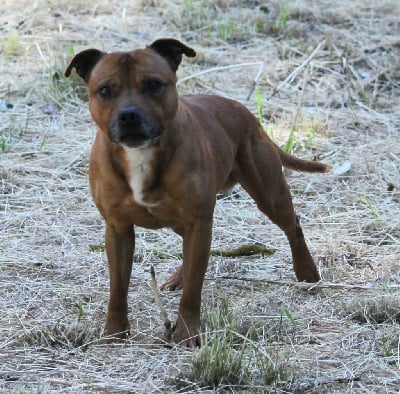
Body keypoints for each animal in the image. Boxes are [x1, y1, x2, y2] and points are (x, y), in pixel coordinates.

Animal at [65, 38, 328, 346]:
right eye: (105, 90)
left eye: (153, 85)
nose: (129, 115)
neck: (141, 156)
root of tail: (244, 111)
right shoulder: (118, 229)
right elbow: (118, 288)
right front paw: (115, 333)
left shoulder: (198, 222)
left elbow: (193, 288)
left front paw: (187, 333)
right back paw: (178, 277)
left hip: (269, 194)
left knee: (292, 225)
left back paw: (307, 271)